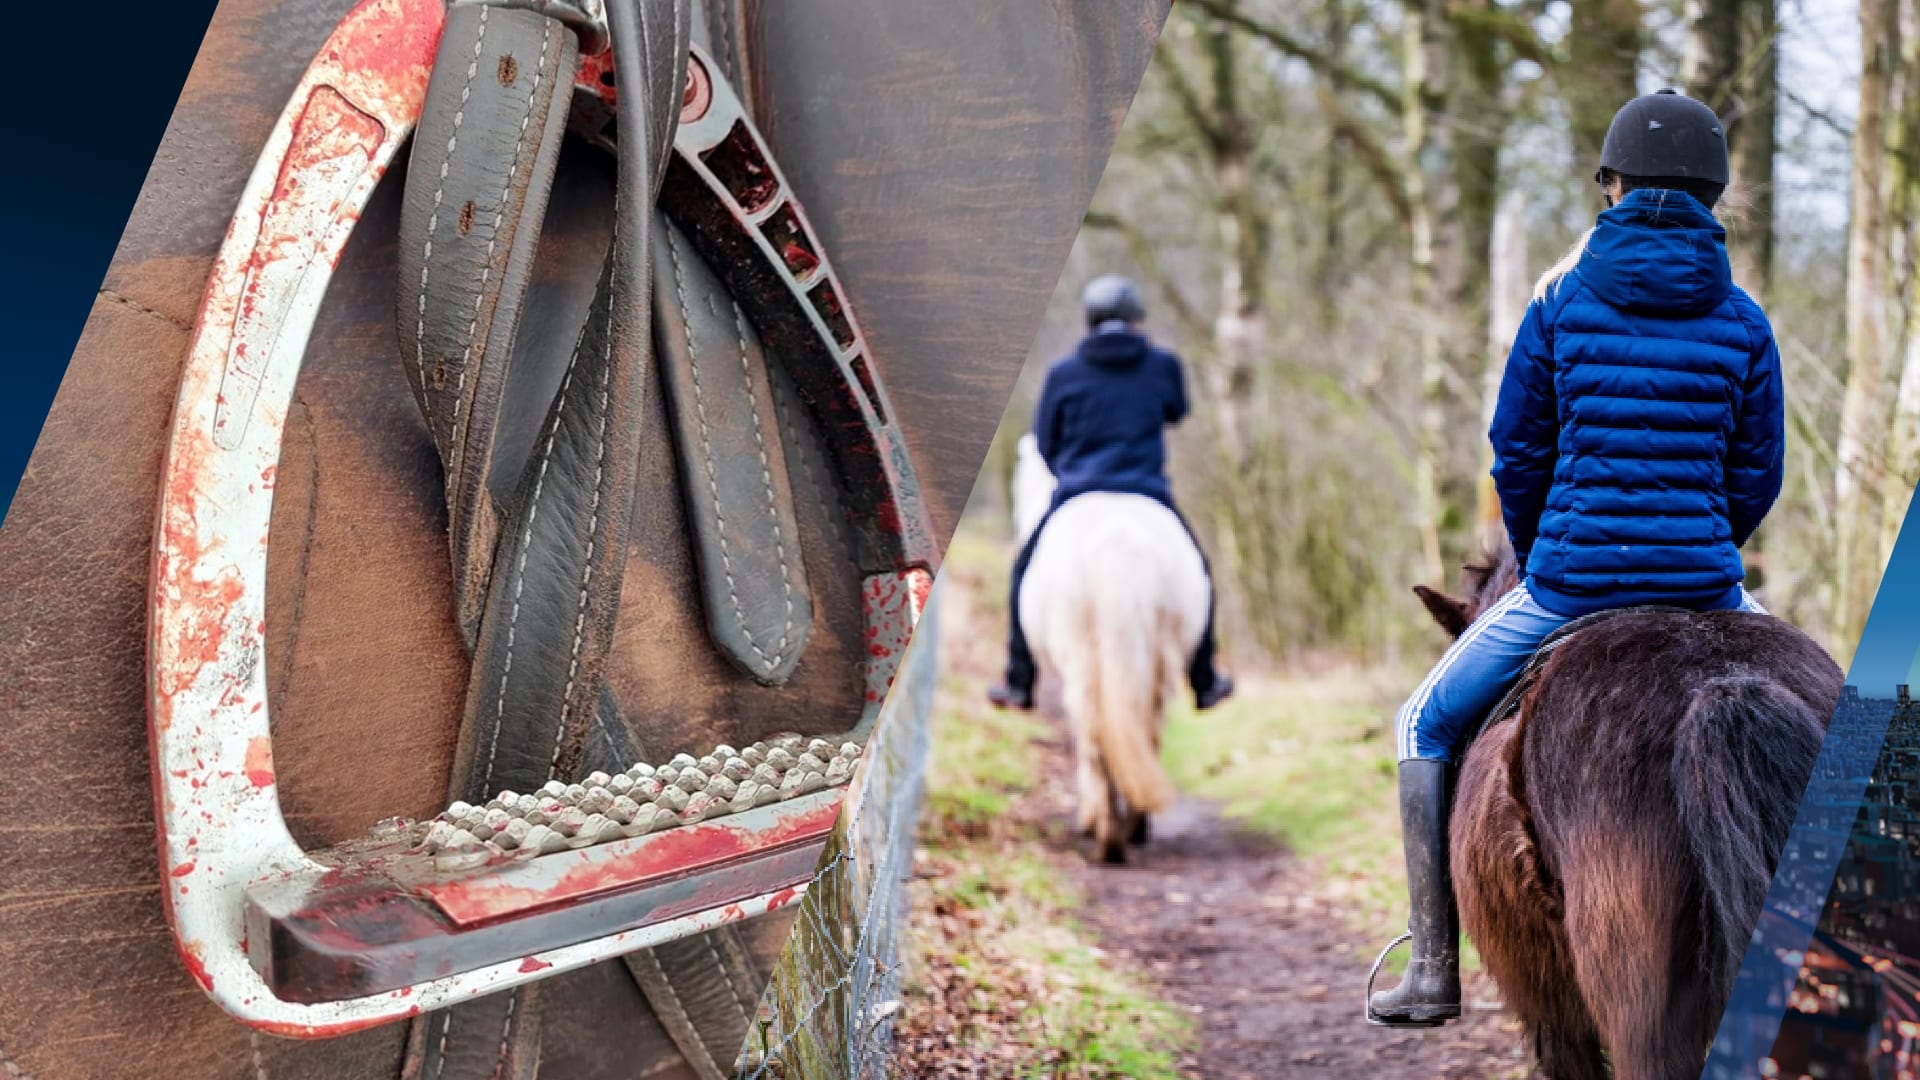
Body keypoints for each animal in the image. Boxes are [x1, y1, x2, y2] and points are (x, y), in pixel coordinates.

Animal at [1012, 434, 1210, 864]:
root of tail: (1117, 542)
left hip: (1083, 662)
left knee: (1095, 741)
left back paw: (1108, 836)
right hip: (1158, 661)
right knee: (1144, 733)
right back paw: (1131, 826)